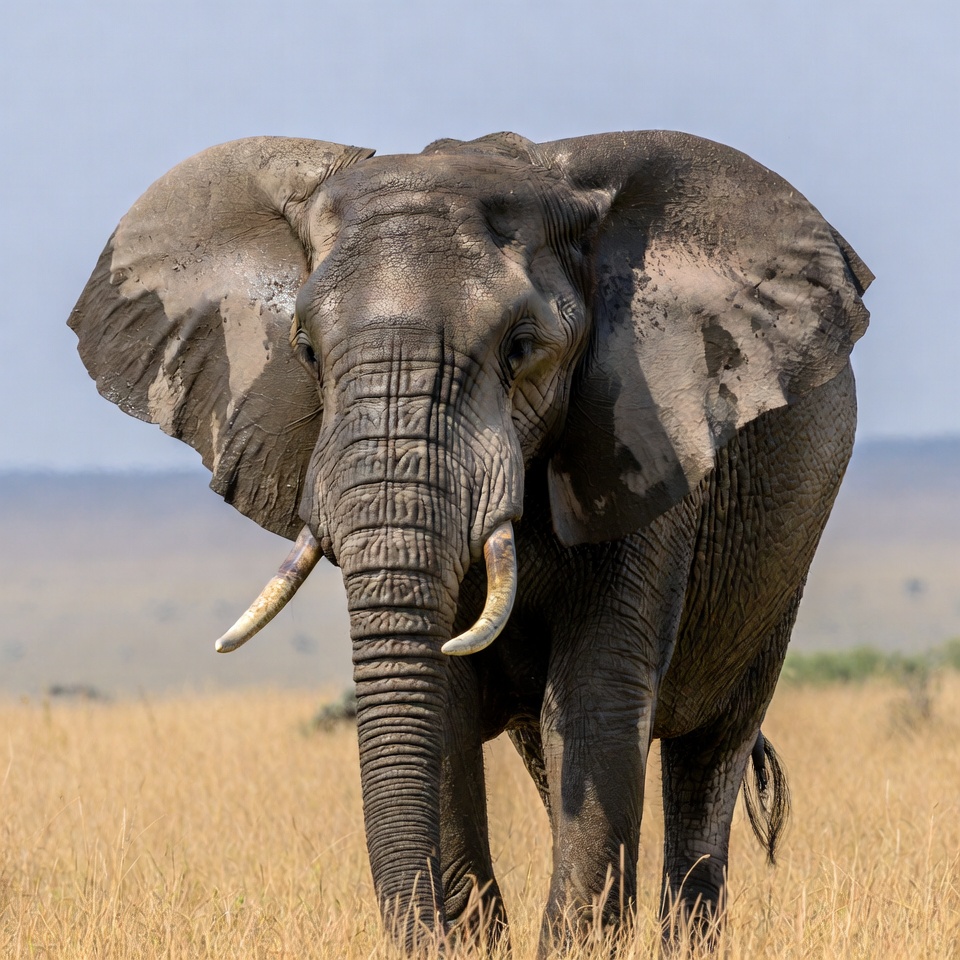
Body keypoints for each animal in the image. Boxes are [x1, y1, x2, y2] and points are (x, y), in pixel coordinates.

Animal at [68, 129, 871, 954]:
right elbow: (447, 713)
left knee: (710, 757)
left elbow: (597, 701)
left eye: (521, 347)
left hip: (783, 559)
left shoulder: (646, 439)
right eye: (307, 352)